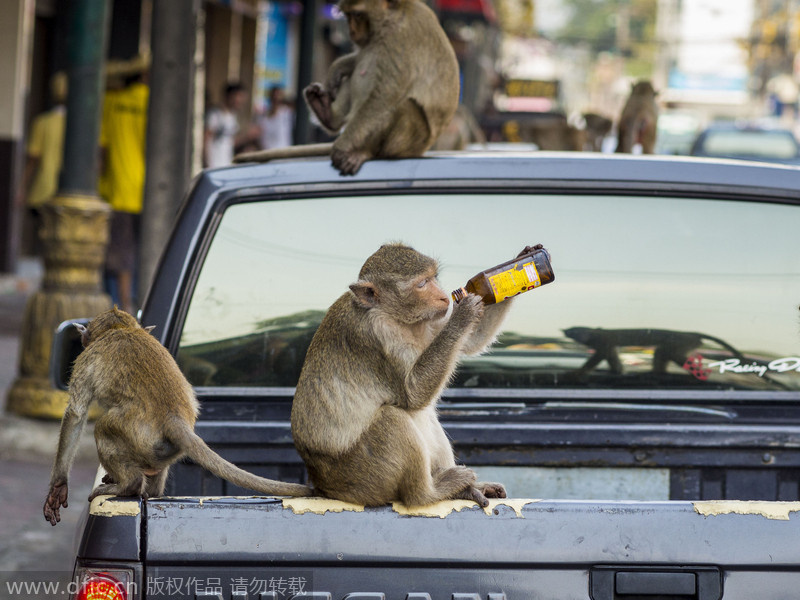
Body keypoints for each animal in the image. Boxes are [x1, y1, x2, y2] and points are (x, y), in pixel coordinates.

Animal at [42, 308, 312, 528]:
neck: (121, 329)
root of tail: (174, 418)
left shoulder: (86, 359)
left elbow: (76, 413)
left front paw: (58, 487)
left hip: (135, 436)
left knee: (102, 429)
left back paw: (128, 485)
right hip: (160, 449)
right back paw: (148, 489)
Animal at [290, 241, 536, 508]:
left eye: (433, 277)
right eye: (421, 284)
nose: (444, 296)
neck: (395, 317)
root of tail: (324, 487)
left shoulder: (430, 320)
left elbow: (470, 340)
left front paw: (523, 260)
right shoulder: (377, 336)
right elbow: (412, 394)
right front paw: (463, 314)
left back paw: (466, 489)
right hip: (363, 476)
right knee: (393, 418)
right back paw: (429, 493)